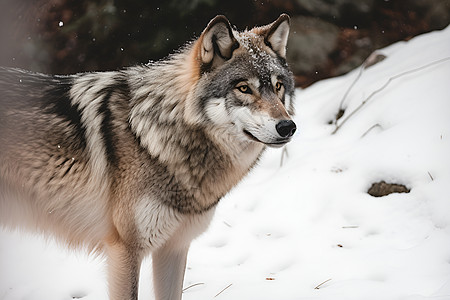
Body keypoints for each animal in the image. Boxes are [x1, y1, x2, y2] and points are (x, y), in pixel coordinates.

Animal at [0, 14, 298, 300]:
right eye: (244, 88)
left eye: (278, 86)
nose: (287, 126)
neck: (154, 137)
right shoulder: (125, 250)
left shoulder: (174, 247)